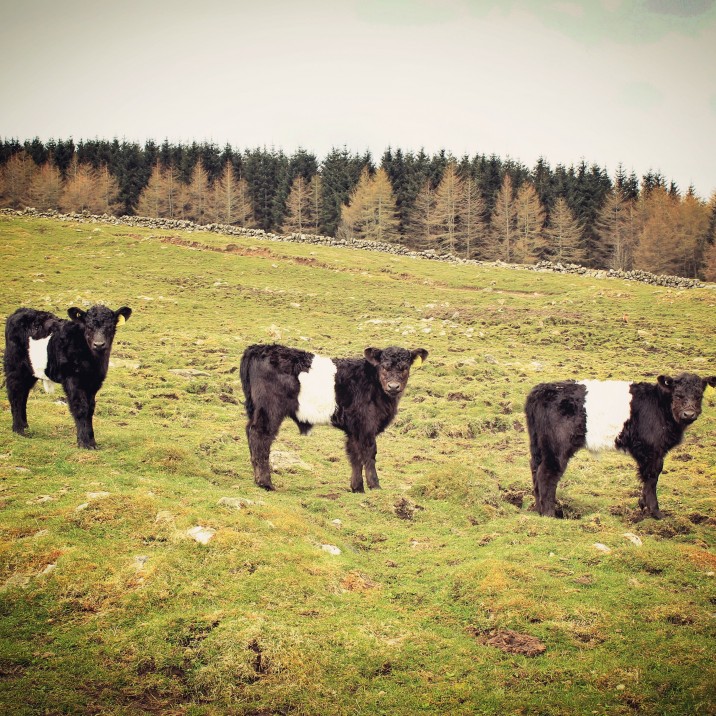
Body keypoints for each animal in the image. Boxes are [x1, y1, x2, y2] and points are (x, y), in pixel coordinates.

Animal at [4, 305, 132, 448]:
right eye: (88, 327)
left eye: (110, 326)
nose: (99, 344)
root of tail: (21, 310)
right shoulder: (72, 380)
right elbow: (81, 408)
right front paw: (84, 443)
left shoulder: (94, 383)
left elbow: (90, 409)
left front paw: (92, 441)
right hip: (15, 365)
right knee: (15, 392)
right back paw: (18, 429)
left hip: (29, 371)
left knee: (23, 394)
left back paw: (25, 426)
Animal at [240, 344, 428, 492]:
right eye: (384, 367)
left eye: (405, 367)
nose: (393, 386)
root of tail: (258, 348)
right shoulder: (366, 425)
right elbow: (369, 453)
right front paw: (375, 486)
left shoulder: (354, 428)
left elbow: (354, 455)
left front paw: (357, 488)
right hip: (270, 410)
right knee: (260, 436)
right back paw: (265, 483)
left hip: (255, 409)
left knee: (250, 432)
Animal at [525, 373, 715, 519]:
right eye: (678, 395)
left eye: (699, 395)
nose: (689, 414)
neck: (661, 406)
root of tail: (540, 390)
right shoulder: (652, 450)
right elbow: (651, 478)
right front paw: (655, 513)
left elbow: (646, 479)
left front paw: (643, 506)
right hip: (557, 446)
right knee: (547, 473)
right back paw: (549, 513)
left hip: (537, 444)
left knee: (535, 468)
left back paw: (538, 509)